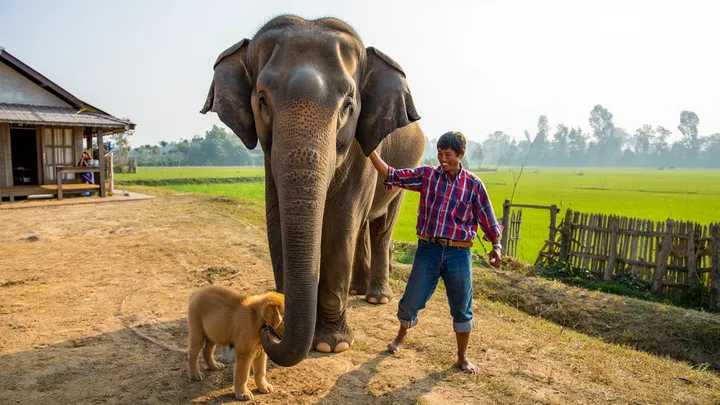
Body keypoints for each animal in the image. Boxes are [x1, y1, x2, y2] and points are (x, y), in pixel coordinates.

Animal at [200, 15, 425, 367]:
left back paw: (376, 298)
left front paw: (331, 345)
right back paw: (357, 291)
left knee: (379, 226)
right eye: (262, 100)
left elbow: (340, 223)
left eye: (348, 105)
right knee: (362, 228)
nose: (268, 329)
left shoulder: (363, 150)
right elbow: (276, 220)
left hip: (405, 174)